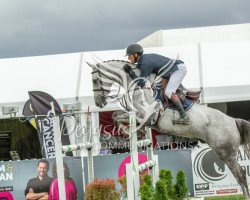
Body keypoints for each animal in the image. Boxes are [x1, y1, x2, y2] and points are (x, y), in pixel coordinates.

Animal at [88, 59, 250, 200]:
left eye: (94, 80)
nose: (98, 103)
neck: (138, 86)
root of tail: (233, 121)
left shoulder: (145, 116)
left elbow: (118, 118)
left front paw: (132, 132)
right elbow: (115, 116)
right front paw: (138, 132)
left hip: (225, 153)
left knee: (241, 175)